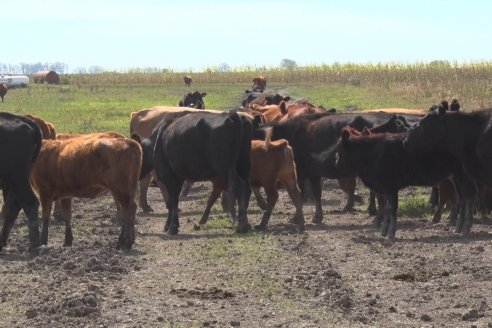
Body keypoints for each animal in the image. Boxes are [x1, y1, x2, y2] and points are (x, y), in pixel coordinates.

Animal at [336, 129, 474, 240]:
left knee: (468, 197)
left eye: (339, 151)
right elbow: (387, 208)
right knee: (462, 198)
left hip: (463, 175)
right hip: (455, 178)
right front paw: (383, 232)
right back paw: (458, 229)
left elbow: (392, 209)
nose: (336, 165)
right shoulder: (385, 188)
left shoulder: (391, 187)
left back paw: (466, 228)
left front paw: (391, 234)